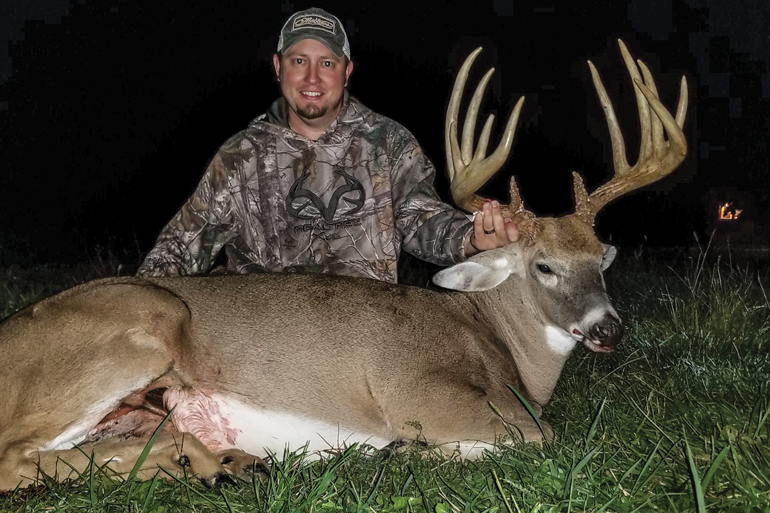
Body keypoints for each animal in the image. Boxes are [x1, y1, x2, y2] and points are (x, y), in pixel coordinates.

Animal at [0, 40, 687, 492]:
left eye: (599, 260)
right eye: (543, 266)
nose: (606, 327)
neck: (502, 349)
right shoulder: (421, 390)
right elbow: (537, 438)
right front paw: (408, 454)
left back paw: (222, 462)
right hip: (142, 324)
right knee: (15, 458)